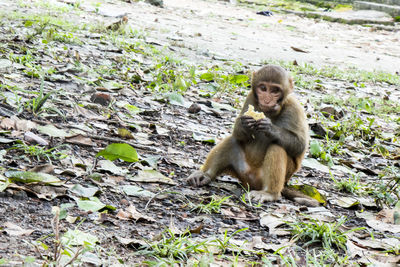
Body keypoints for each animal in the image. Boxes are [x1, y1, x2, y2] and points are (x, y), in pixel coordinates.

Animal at [188, 64, 318, 207]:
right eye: (263, 88)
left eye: (275, 90)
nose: (267, 100)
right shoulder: (250, 97)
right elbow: (237, 133)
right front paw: (245, 124)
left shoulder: (295, 108)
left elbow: (300, 145)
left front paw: (270, 129)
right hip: (242, 170)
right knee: (232, 140)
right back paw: (205, 175)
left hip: (268, 178)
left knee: (277, 146)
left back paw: (269, 193)